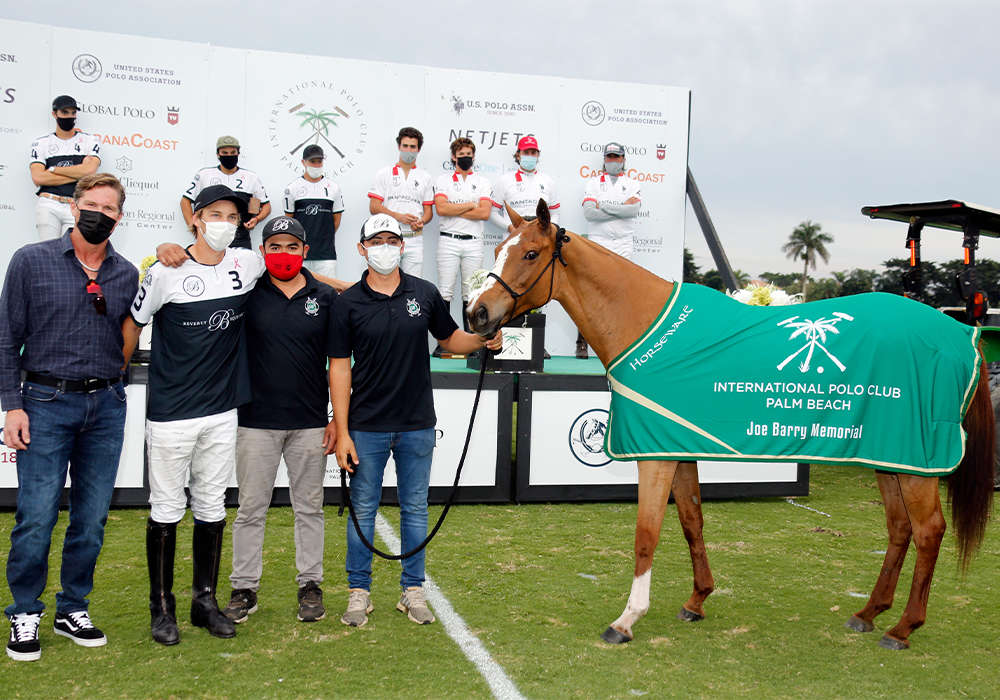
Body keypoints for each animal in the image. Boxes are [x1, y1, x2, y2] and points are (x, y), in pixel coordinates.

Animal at [466, 198, 992, 652]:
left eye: (530, 253)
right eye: (498, 249)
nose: (477, 313)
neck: (642, 321)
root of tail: (962, 332)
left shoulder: (653, 457)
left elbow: (646, 534)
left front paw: (627, 619)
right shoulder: (675, 448)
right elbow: (691, 520)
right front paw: (697, 600)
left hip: (916, 461)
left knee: (929, 531)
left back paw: (903, 627)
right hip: (889, 455)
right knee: (900, 528)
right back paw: (869, 613)